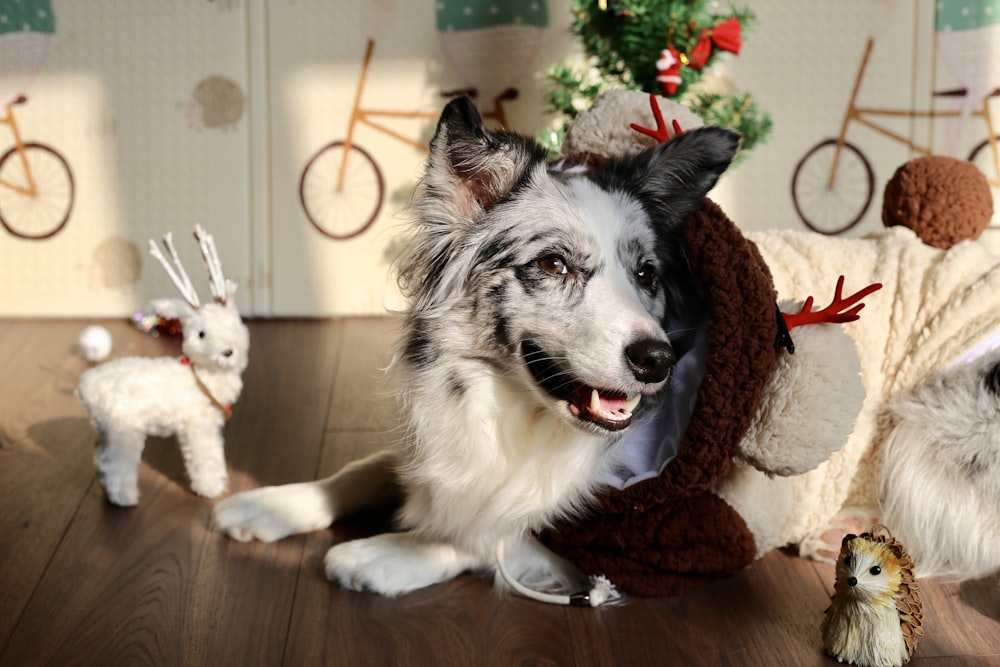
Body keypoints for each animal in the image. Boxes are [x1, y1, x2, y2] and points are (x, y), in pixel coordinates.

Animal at [213, 96, 744, 604]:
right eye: (553, 264)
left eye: (646, 274)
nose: (657, 361)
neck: (517, 414)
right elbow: (368, 467)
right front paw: (270, 504)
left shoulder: (627, 545)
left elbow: (481, 535)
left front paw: (376, 556)